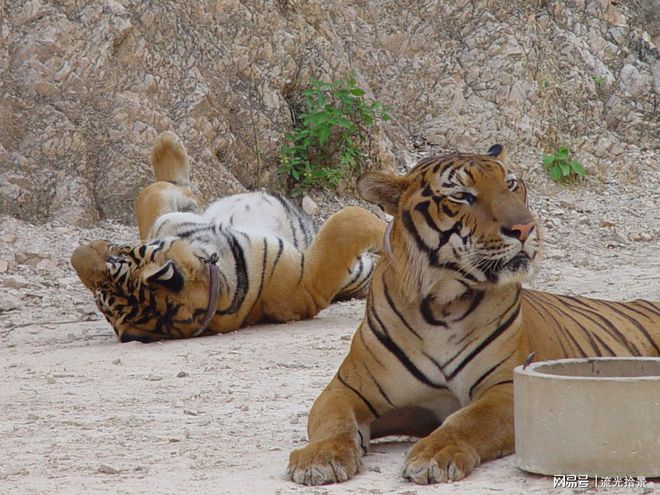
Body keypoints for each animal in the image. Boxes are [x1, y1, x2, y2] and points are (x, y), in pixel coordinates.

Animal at [69, 130, 384, 342]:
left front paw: (167, 144)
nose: (76, 253)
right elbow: (349, 221)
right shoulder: (309, 281)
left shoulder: (165, 222)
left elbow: (151, 193)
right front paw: (388, 228)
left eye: (118, 256)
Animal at [284, 145, 660, 486]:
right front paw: (319, 459)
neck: (440, 305)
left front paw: (433, 455)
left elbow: (468, 421)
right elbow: (334, 422)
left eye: (511, 184)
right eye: (462, 196)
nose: (526, 228)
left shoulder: (505, 387)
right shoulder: (345, 389)